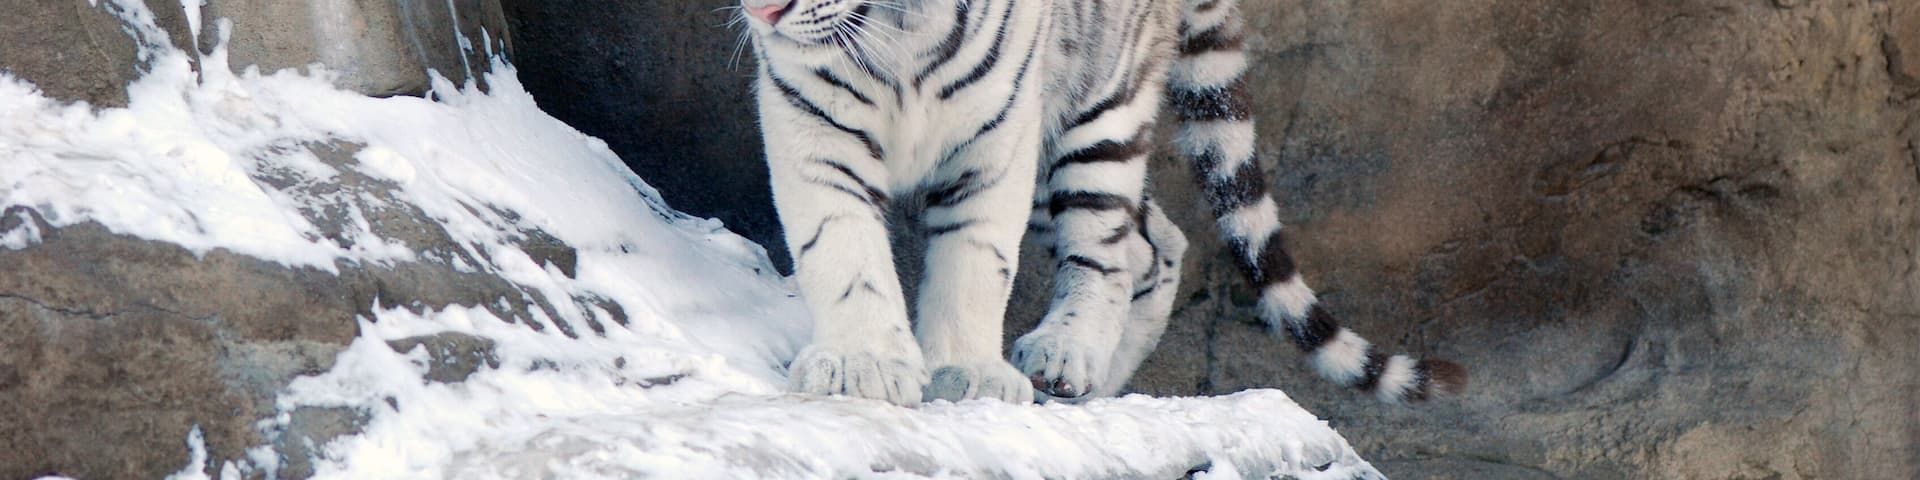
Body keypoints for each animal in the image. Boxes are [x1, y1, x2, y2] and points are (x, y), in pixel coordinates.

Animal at [738, 0, 1466, 405]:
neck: (896, 27)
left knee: (1115, 253)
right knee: (1158, 242)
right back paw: (1096, 385)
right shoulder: (812, 117)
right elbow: (841, 249)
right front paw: (861, 367)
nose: (763, 15)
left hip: (1094, 115)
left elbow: (976, 262)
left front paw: (966, 373)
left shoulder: (1000, 131)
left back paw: (1067, 358)